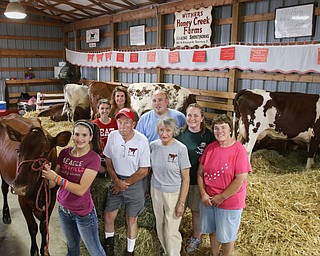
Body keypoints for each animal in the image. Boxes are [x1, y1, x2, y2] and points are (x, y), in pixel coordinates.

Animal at [0, 114, 71, 256]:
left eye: (44, 152)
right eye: (18, 150)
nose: (19, 187)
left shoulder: (51, 198)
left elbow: (44, 227)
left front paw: (44, 250)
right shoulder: (22, 199)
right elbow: (32, 227)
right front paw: (34, 251)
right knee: (4, 190)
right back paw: (6, 215)